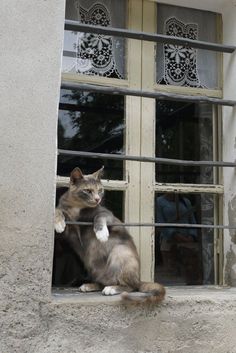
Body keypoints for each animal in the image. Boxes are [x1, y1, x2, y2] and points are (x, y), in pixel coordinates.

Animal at [54, 166, 166, 302]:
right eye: (88, 190)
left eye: (100, 190)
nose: (98, 199)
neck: (77, 206)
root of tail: (139, 279)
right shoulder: (69, 230)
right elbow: (58, 211)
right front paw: (58, 224)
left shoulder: (107, 214)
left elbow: (99, 216)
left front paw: (102, 234)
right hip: (92, 265)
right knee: (104, 282)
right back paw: (89, 285)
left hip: (120, 252)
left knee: (131, 286)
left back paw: (112, 289)